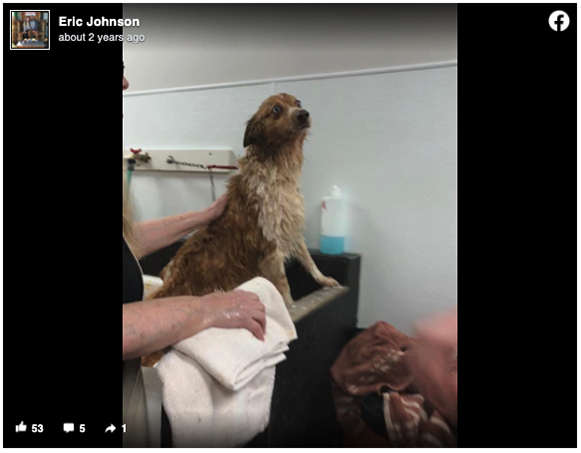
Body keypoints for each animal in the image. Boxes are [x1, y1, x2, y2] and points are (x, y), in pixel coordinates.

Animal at [153, 93, 339, 308]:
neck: (278, 169)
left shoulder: (291, 226)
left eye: (297, 103)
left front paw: (324, 279)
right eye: (276, 109)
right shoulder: (271, 247)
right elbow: (284, 288)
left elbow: (309, 260)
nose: (303, 114)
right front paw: (289, 308)